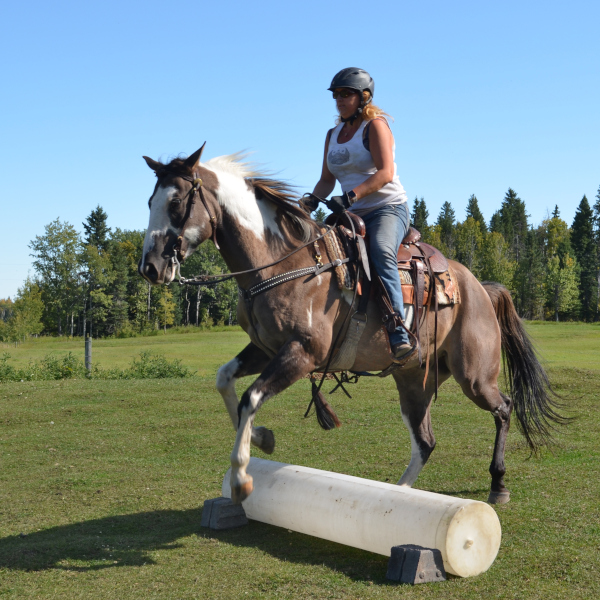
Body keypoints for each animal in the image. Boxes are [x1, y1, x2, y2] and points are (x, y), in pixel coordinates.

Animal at [138, 145, 564, 506]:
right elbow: (225, 380)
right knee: (425, 441)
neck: (283, 264)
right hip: (414, 380)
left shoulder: (303, 353)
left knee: (504, 408)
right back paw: (397, 496)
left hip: (474, 376)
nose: (150, 267)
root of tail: (479, 287)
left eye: (175, 202)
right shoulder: (265, 348)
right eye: (149, 202)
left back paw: (498, 483)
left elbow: (251, 397)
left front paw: (242, 477)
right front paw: (262, 438)